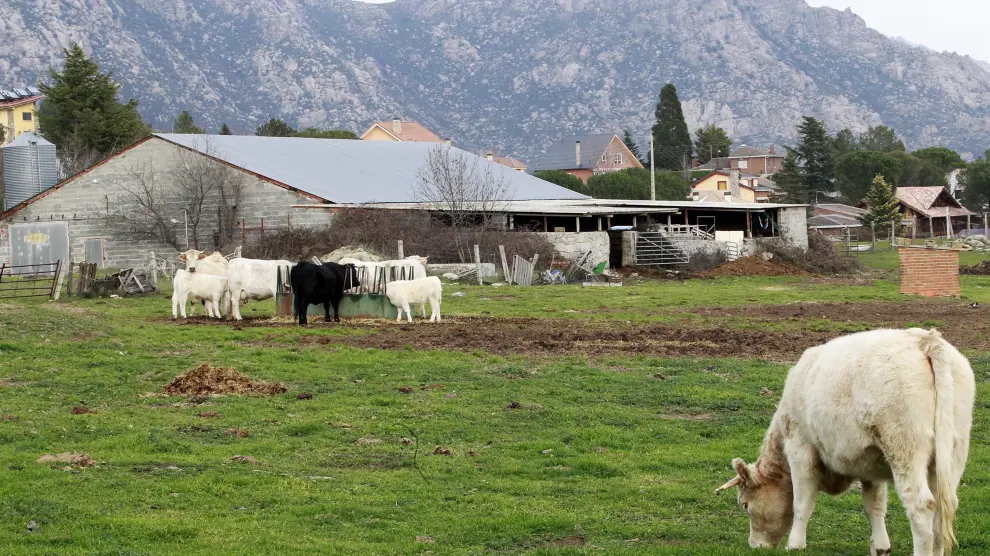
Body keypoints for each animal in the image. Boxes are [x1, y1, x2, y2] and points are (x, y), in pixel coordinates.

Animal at [715, 328, 974, 556]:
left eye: (745, 505)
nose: (755, 545)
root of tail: (925, 339)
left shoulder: (800, 449)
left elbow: (802, 503)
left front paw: (795, 544)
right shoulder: (871, 464)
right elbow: (874, 505)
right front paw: (880, 547)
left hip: (904, 450)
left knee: (921, 505)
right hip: (952, 454)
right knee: (945, 506)